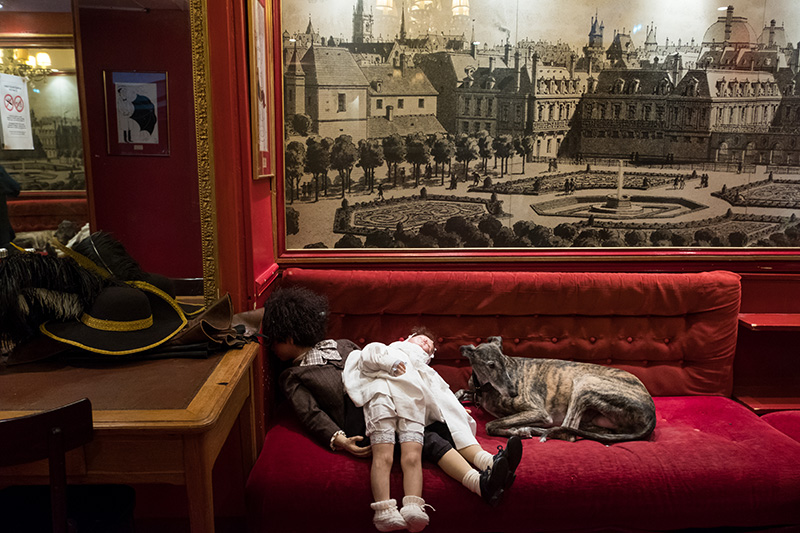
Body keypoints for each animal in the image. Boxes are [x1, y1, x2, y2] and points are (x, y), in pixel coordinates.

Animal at [456, 336, 656, 444]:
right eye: (491, 365)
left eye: (504, 362)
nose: (514, 393)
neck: (484, 387)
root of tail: (652, 414)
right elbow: (459, 392)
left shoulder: (538, 411)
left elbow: (491, 425)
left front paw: (515, 431)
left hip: (585, 383)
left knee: (567, 431)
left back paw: (527, 429)